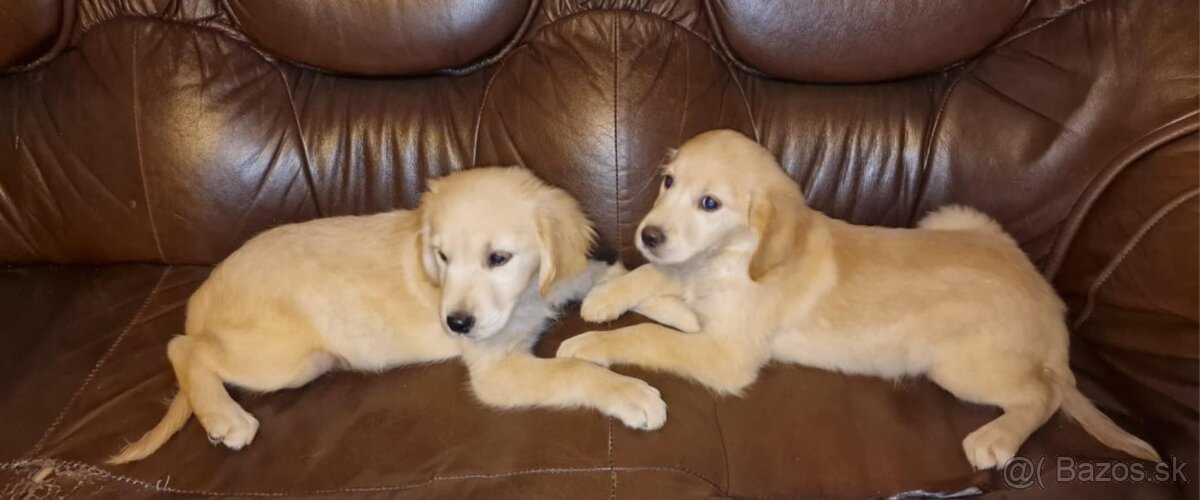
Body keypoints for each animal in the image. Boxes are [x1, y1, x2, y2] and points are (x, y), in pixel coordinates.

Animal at [105, 166, 667, 462]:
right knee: (184, 349)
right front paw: (632, 394)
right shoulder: (496, 371)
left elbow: (589, 271)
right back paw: (225, 417)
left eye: (498, 258)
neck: (525, 297)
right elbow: (574, 369)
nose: (455, 324)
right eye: (442, 256)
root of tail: (203, 297)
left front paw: (612, 286)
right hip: (289, 359)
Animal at [559, 128, 1161, 467]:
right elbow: (657, 283)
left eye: (710, 203)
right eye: (668, 182)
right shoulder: (695, 288)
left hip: (957, 365)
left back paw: (998, 439)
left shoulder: (728, 357)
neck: (734, 257)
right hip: (954, 218)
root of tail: (1050, 305)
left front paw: (585, 346)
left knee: (1045, 393)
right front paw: (608, 294)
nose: (648, 234)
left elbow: (648, 333)